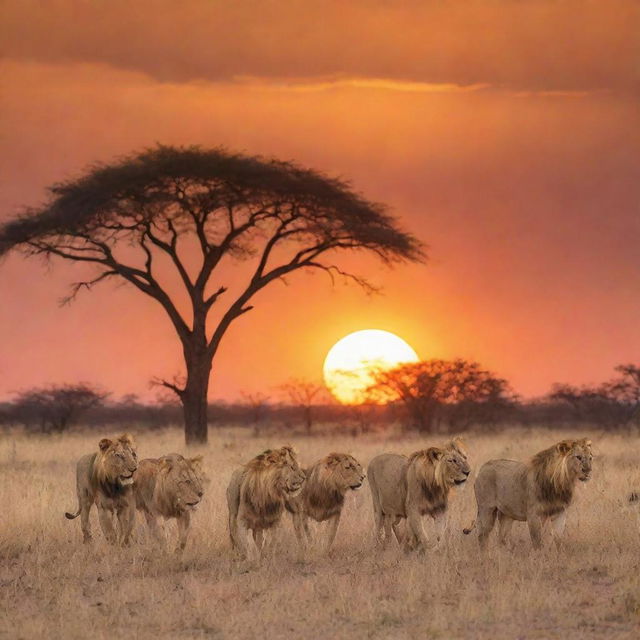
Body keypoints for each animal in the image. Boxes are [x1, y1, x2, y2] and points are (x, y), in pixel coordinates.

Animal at [462, 440, 592, 552]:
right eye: (578, 457)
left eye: (590, 458)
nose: (588, 471)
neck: (562, 482)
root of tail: (483, 466)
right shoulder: (534, 515)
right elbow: (537, 541)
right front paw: (539, 558)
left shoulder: (560, 511)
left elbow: (558, 539)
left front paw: (559, 557)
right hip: (486, 509)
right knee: (482, 534)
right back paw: (485, 556)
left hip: (506, 514)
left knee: (502, 538)